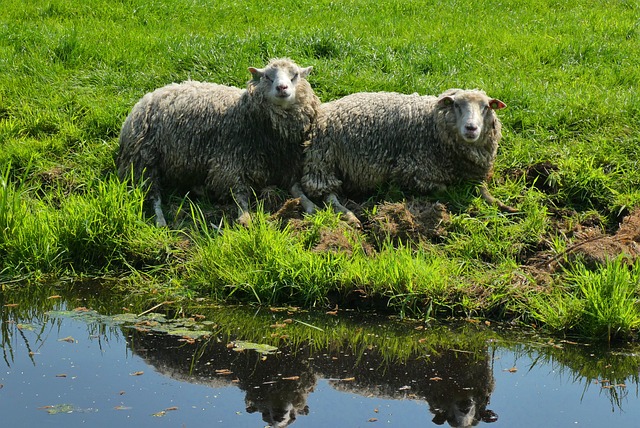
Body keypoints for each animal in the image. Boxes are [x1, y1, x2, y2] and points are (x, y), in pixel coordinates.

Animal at [116, 56, 320, 227]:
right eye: (267, 77)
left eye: (295, 75)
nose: (282, 88)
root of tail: (148, 96)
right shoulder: (229, 164)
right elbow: (240, 195)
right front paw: (245, 218)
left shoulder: (285, 166)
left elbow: (296, 189)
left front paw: (311, 206)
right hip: (144, 159)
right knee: (153, 194)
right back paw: (160, 220)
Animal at [300, 88, 516, 226]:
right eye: (456, 105)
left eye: (486, 107)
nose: (471, 128)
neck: (432, 124)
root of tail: (325, 109)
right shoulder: (412, 170)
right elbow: (444, 189)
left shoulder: (476, 175)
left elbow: (485, 192)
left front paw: (507, 207)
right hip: (323, 160)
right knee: (328, 195)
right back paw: (350, 217)